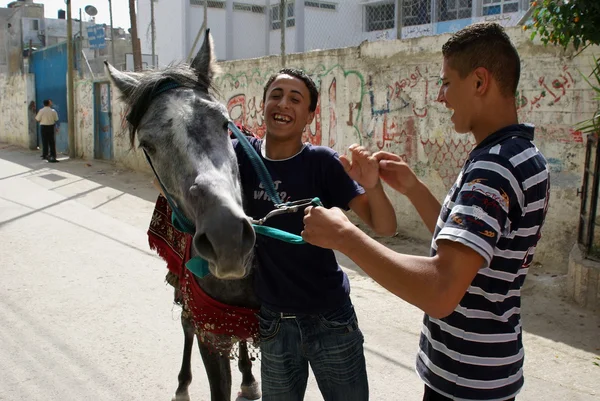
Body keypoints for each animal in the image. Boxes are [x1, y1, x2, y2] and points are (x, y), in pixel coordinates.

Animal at [105, 32, 262, 400]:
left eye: (224, 122)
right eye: (147, 145)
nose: (227, 238)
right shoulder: (210, 332)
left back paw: (248, 378)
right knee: (186, 323)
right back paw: (183, 384)